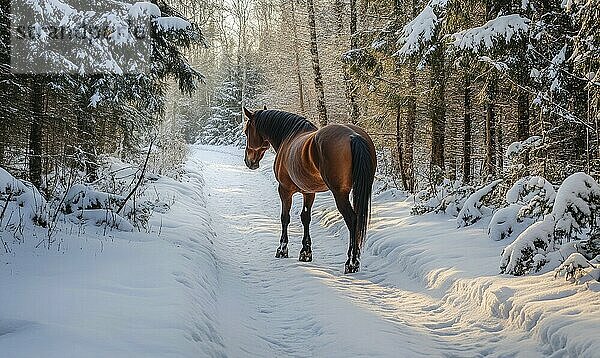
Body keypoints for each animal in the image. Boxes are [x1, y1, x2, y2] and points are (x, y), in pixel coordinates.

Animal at [243, 107, 376, 272]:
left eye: (247, 131)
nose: (249, 162)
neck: (289, 136)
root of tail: (353, 135)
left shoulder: (284, 190)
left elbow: (285, 218)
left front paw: (282, 249)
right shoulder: (309, 192)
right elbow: (305, 217)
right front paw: (305, 252)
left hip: (340, 194)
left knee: (352, 219)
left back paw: (351, 263)